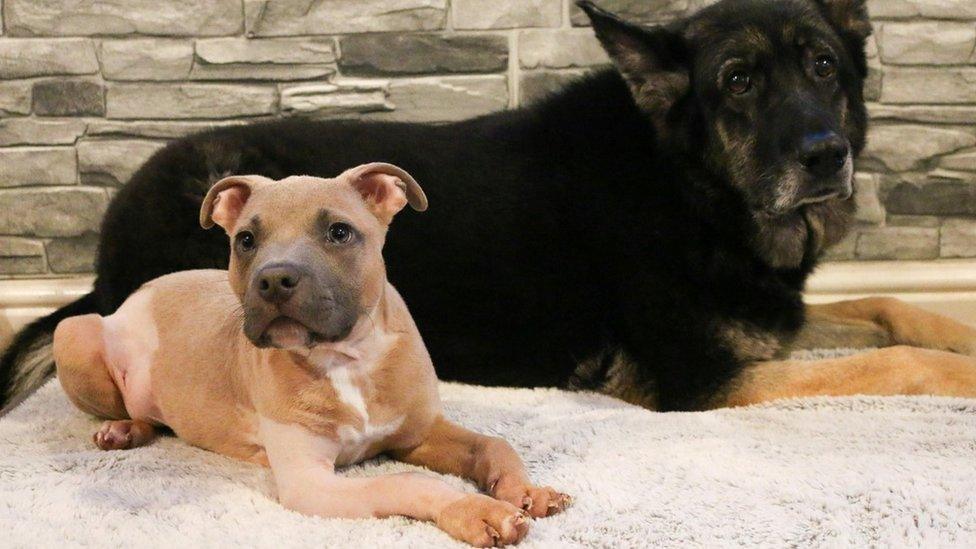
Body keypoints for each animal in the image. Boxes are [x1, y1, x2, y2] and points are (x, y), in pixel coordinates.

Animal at [1, 0, 976, 412]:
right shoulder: (703, 378)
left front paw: (955, 329)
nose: (826, 155)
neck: (689, 186)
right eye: (738, 81)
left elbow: (888, 309)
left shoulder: (769, 324)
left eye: (823, 66)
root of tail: (102, 263)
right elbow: (893, 361)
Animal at [53, 163, 568, 544]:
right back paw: (122, 429)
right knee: (133, 409)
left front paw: (523, 489)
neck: (347, 359)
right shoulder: (312, 483)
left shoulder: (418, 435)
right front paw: (475, 509)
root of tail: (137, 294)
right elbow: (404, 481)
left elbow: (493, 444)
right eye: (245, 240)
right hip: (74, 332)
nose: (274, 279)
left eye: (339, 233)